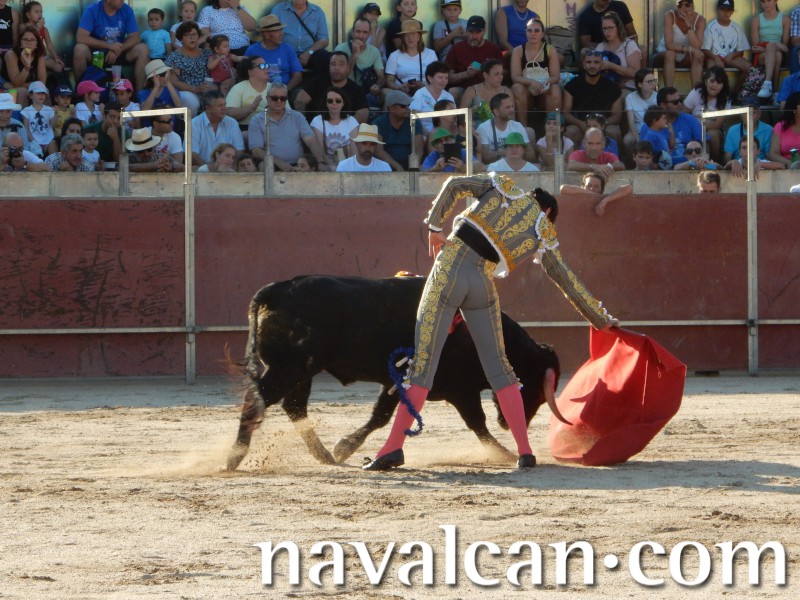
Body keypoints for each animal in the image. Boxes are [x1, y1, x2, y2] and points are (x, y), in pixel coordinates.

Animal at [227, 275, 563, 470]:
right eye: (534, 389)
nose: (511, 423)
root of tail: (276, 289)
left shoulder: (400, 382)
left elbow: (382, 415)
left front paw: (346, 448)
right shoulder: (458, 390)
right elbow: (475, 423)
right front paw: (504, 453)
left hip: (301, 371)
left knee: (294, 406)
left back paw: (324, 456)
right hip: (288, 368)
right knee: (257, 403)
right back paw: (234, 458)